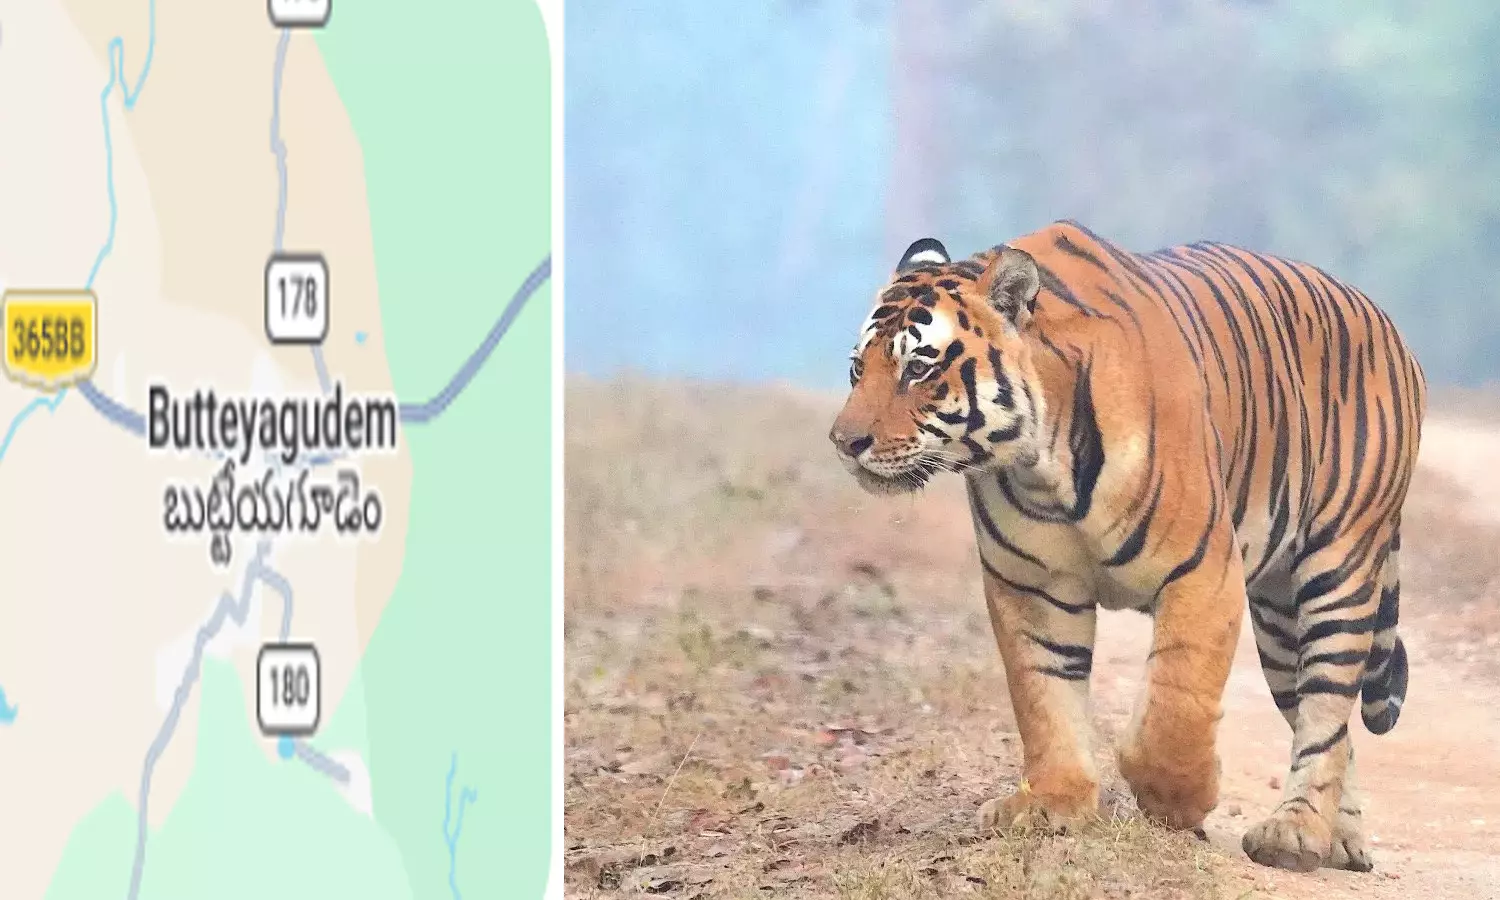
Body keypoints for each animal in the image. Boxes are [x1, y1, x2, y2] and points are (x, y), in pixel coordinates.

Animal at [829, 220, 1425, 873]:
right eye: (858, 369)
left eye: (918, 369)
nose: (843, 441)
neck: (1040, 464)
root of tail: (1387, 323)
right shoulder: (1032, 587)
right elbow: (1044, 697)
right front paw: (1052, 803)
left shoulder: (1204, 572)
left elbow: (1175, 706)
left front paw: (1181, 801)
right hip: (1277, 614)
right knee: (1333, 729)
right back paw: (1341, 837)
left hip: (1339, 568)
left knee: (1326, 707)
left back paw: (1296, 833)